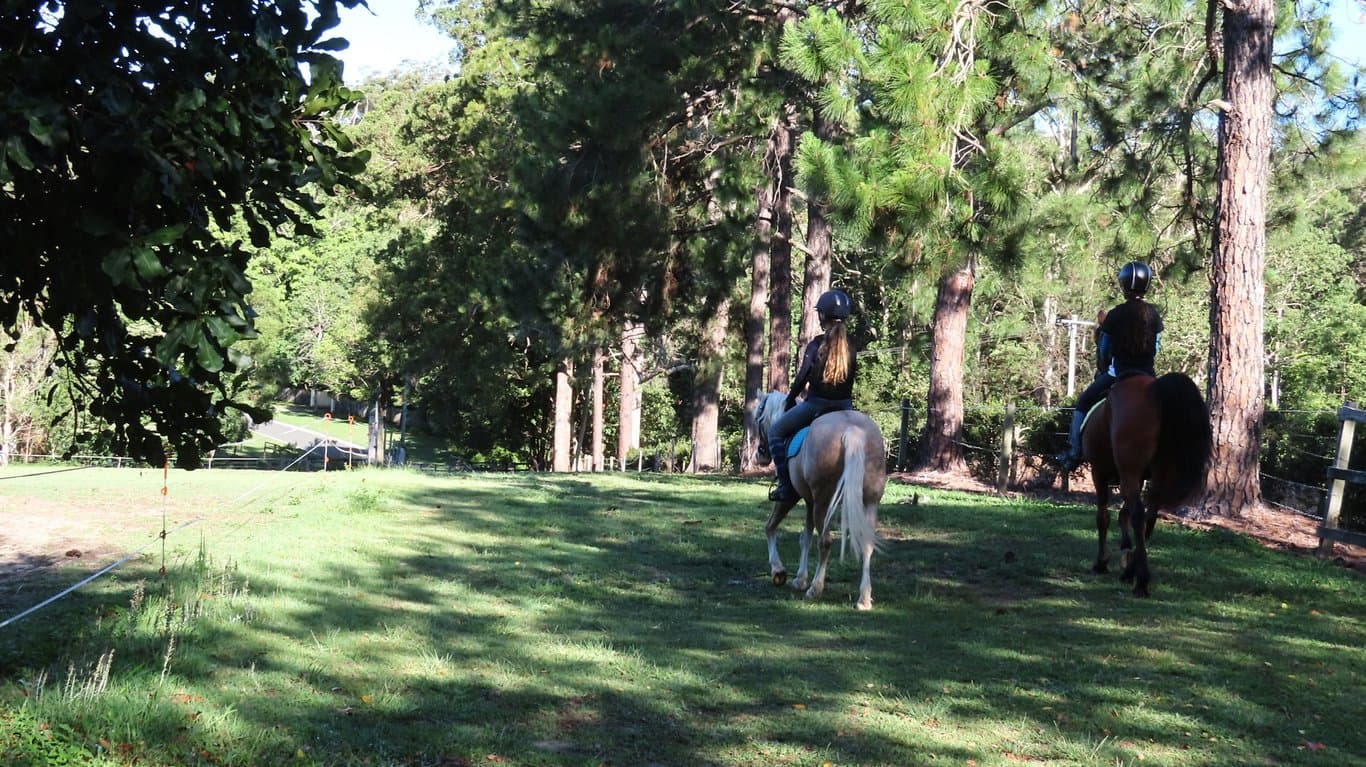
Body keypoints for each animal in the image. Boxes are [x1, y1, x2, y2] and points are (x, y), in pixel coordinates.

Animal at [753, 391, 888, 610]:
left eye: (757, 417)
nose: (760, 455)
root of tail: (852, 429)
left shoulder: (793, 496)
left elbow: (770, 526)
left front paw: (779, 571)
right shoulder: (810, 502)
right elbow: (805, 538)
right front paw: (800, 578)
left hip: (823, 502)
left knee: (825, 541)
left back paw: (815, 588)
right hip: (869, 503)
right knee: (867, 544)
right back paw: (864, 598)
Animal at [1079, 372, 1212, 597]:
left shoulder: (1099, 471)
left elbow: (1103, 517)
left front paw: (1101, 562)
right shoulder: (1138, 477)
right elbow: (1122, 514)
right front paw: (1126, 550)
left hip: (1129, 471)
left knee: (1138, 516)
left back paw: (1140, 580)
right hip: (1160, 473)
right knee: (1150, 516)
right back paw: (1131, 571)